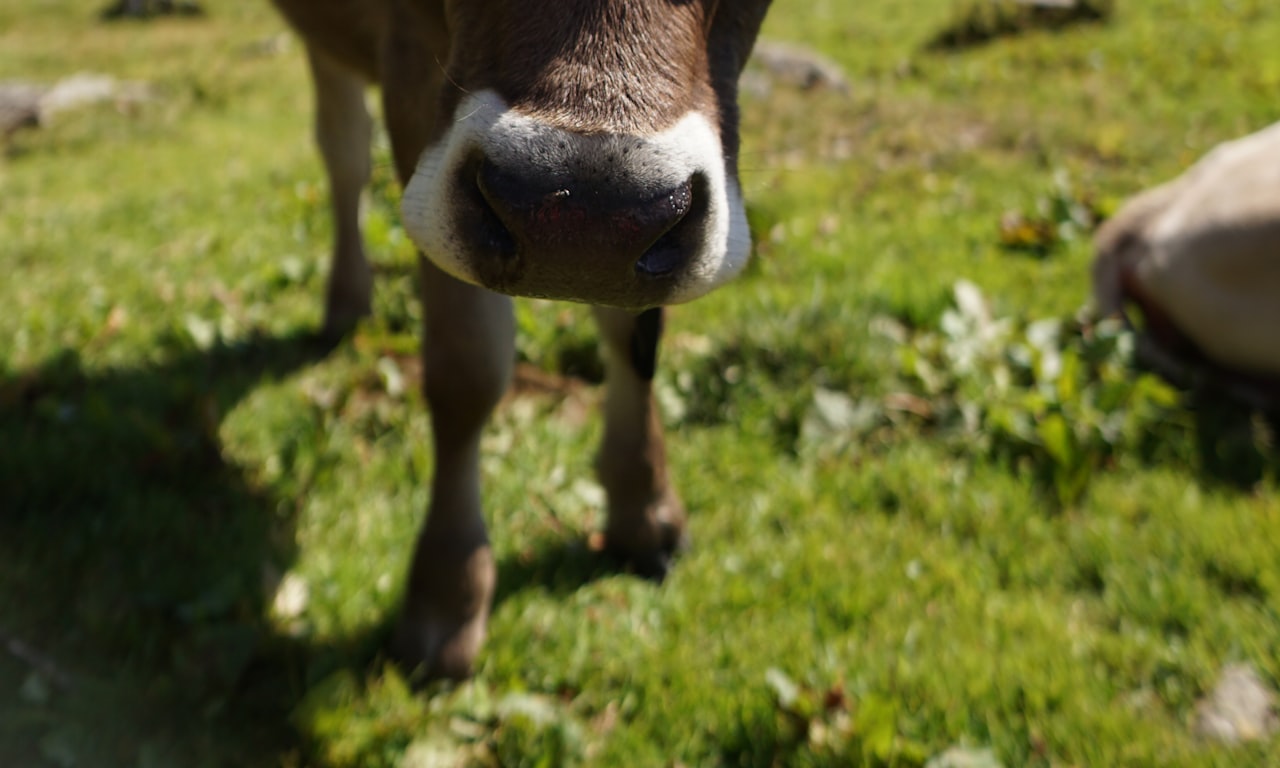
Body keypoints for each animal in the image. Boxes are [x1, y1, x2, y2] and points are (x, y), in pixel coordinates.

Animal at [267, 1, 768, 675]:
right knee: (343, 143)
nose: (584, 219)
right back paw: (345, 301)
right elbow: (468, 367)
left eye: (595, 231)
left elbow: (635, 333)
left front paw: (644, 504)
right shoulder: (415, 77)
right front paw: (446, 594)